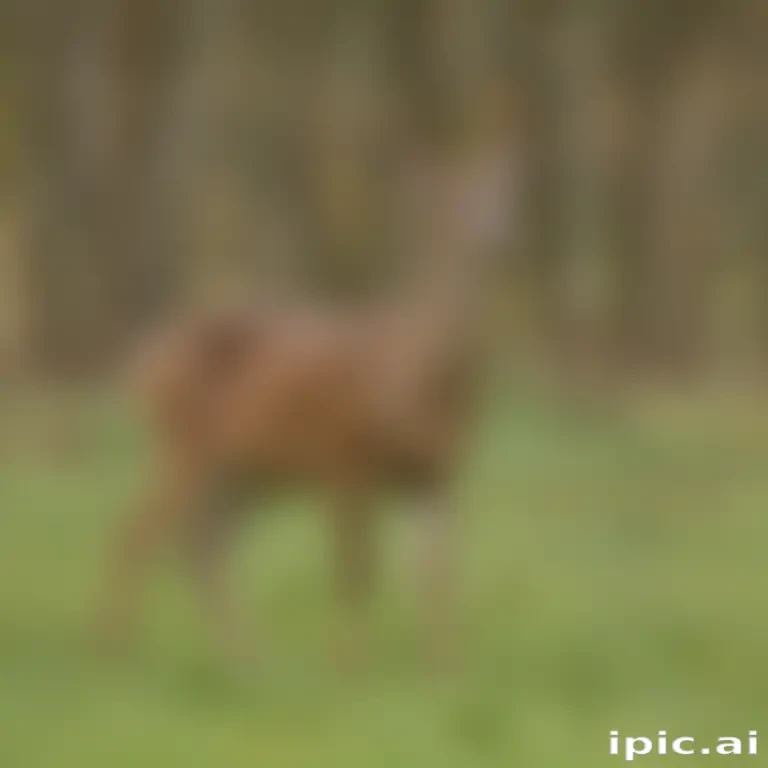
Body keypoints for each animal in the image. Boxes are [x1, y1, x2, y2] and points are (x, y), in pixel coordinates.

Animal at [95, 142, 515, 673]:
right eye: (449, 206)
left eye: (496, 194)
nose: (494, 236)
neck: (419, 380)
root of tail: (140, 359)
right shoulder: (342, 455)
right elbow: (356, 572)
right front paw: (346, 667)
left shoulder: (437, 473)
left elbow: (436, 575)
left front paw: (446, 670)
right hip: (182, 442)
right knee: (137, 531)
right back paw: (115, 648)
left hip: (242, 469)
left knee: (202, 545)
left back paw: (246, 656)